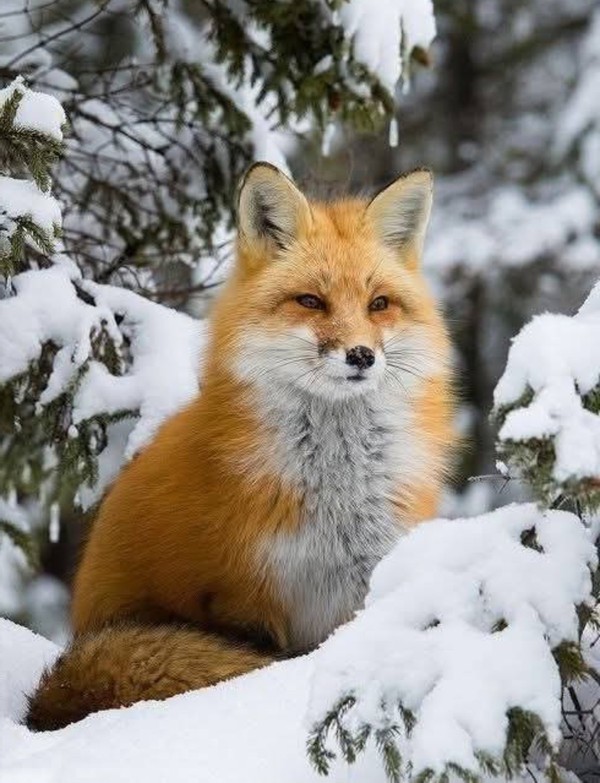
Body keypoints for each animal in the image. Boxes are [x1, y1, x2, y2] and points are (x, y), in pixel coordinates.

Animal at [26, 162, 455, 731]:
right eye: (311, 301)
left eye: (379, 304)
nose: (361, 355)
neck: (336, 497)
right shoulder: (239, 596)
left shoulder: (367, 577)